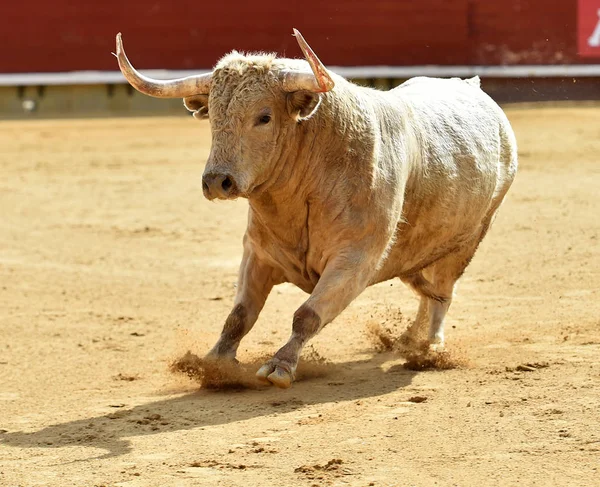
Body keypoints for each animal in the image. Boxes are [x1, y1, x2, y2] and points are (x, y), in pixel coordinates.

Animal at [115, 29, 516, 388]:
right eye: (212, 116)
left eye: (264, 117)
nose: (216, 181)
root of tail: (472, 87)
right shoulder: (257, 253)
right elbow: (239, 316)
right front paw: (213, 364)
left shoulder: (354, 260)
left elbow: (307, 314)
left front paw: (279, 366)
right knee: (428, 291)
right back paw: (408, 339)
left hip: (469, 239)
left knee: (443, 290)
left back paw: (429, 348)